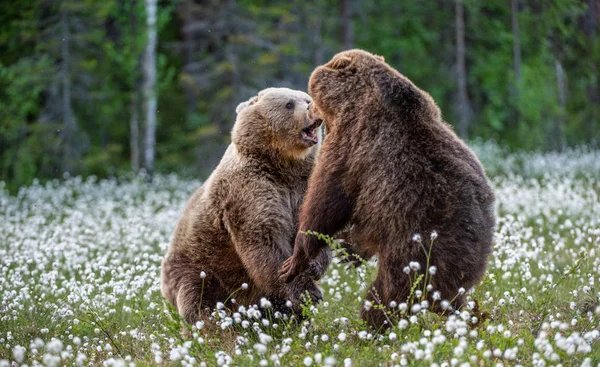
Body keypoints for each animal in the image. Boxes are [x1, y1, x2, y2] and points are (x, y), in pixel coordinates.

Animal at [162, 87, 330, 324]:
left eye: (306, 98)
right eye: (289, 104)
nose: (313, 108)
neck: (282, 166)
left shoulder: (302, 186)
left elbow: (312, 225)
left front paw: (314, 266)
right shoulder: (249, 192)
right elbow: (265, 240)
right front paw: (308, 292)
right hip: (199, 268)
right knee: (199, 299)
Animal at [278, 49, 494, 330]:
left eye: (312, 95)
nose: (310, 109)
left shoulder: (350, 144)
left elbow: (326, 200)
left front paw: (293, 262)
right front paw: (349, 249)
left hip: (417, 248)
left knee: (387, 292)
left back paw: (373, 325)